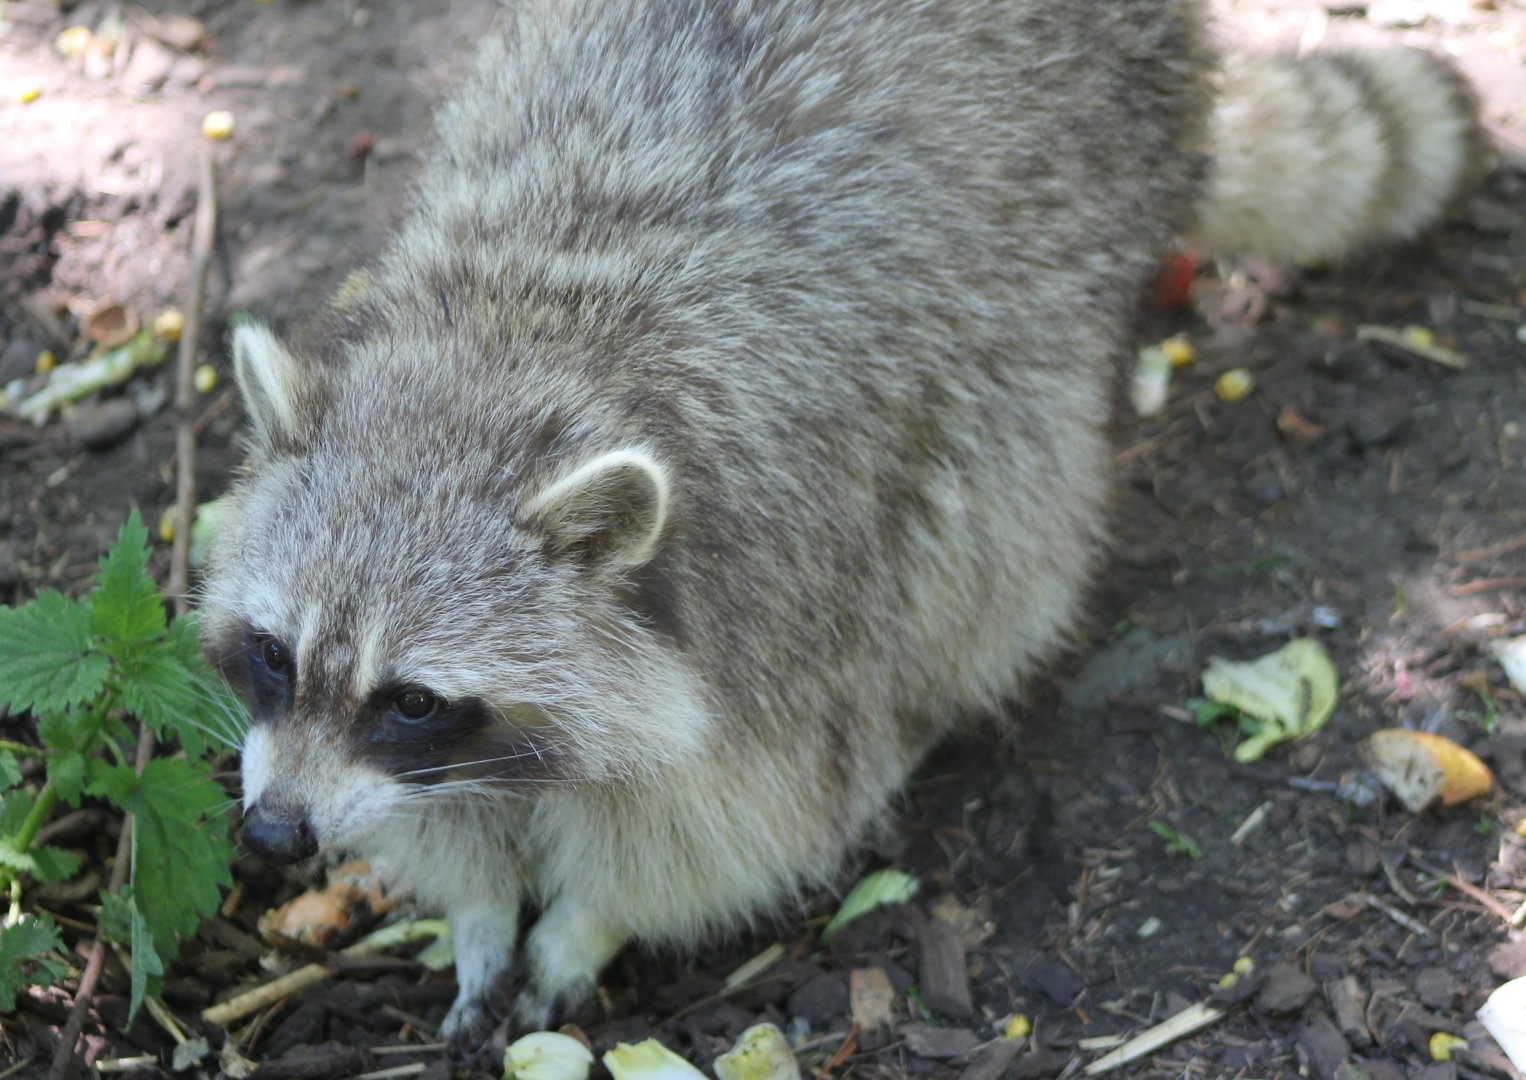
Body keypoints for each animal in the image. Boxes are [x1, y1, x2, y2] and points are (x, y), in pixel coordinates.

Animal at [199, 0, 1484, 1045]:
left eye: (410, 699)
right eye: (272, 655)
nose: (275, 838)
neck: (518, 343)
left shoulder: (780, 588)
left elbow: (738, 819)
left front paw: (589, 919)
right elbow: (451, 814)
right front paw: (473, 903)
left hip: (1041, 309)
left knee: (999, 540)